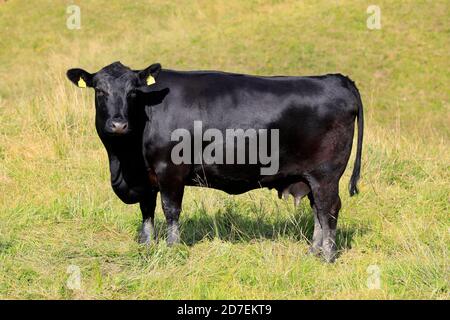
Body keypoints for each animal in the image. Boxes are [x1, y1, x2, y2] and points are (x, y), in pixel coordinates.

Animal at [66, 61, 362, 262]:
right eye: (99, 91)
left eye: (133, 93)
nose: (118, 124)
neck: (124, 161)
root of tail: (337, 79)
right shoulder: (146, 176)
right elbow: (147, 211)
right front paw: (147, 245)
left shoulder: (170, 170)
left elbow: (171, 210)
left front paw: (172, 248)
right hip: (310, 177)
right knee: (318, 211)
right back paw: (313, 251)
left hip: (326, 175)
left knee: (328, 209)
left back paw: (327, 256)